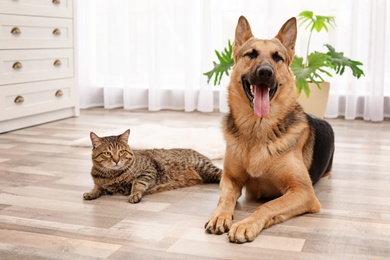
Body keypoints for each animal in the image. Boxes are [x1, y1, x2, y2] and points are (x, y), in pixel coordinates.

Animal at [83, 129, 221, 203]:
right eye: (107, 153)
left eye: (121, 152)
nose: (116, 160)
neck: (113, 176)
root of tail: (196, 151)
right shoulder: (102, 184)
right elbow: (97, 187)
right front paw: (91, 193)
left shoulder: (149, 170)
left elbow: (137, 183)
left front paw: (134, 194)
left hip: (206, 168)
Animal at [204, 16, 336, 244]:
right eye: (251, 54)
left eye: (277, 58)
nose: (265, 72)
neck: (257, 131)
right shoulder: (230, 178)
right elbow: (225, 198)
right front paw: (220, 216)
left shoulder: (303, 191)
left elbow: (268, 205)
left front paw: (246, 224)